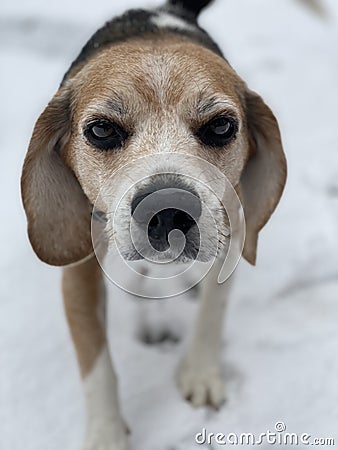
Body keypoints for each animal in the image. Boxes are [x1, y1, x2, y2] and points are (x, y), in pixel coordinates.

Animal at [20, 0, 286, 450]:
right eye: (101, 129)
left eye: (221, 126)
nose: (169, 211)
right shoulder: (79, 271)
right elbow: (96, 362)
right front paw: (107, 434)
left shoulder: (230, 228)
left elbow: (212, 313)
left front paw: (201, 373)